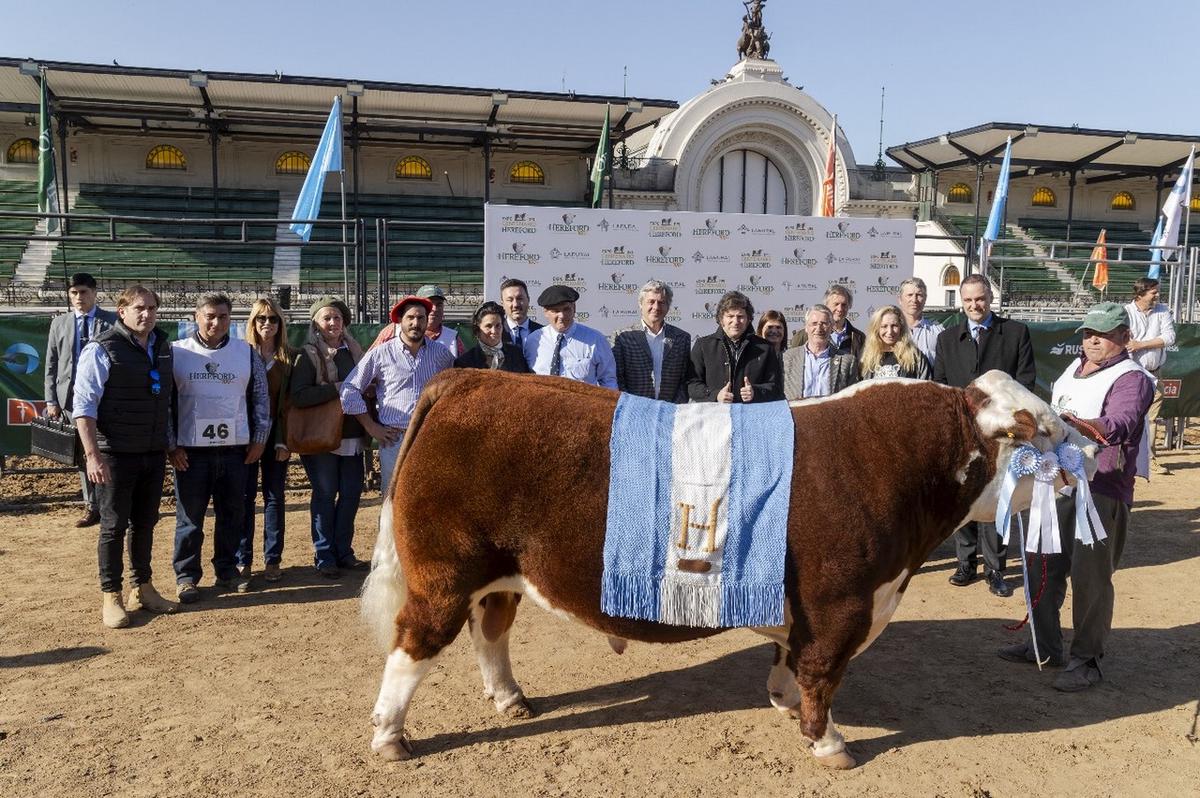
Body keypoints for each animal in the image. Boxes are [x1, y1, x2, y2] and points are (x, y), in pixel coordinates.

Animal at [357, 367, 1099, 768]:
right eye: (1044, 432)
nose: (1087, 460)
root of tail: (471, 377)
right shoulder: (842, 603)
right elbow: (823, 674)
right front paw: (827, 742)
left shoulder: (806, 607)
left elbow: (791, 662)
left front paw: (782, 701)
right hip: (445, 571)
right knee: (413, 645)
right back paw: (391, 736)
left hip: (502, 571)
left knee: (492, 630)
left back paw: (510, 697)